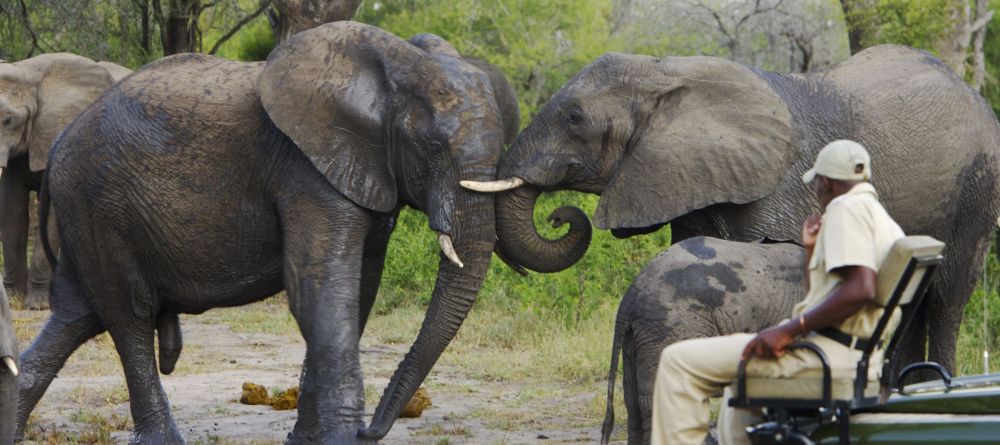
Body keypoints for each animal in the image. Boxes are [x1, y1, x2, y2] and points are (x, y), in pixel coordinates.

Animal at [17, 22, 513, 443]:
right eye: (432, 147)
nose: (372, 430)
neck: (396, 67)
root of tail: (59, 144)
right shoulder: (305, 171)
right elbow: (319, 292)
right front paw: (338, 439)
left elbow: (357, 294)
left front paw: (309, 439)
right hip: (98, 204)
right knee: (128, 316)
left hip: (89, 214)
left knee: (77, 315)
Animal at [481, 44, 1000, 387]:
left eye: (574, 118)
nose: (560, 216)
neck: (667, 72)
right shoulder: (691, 177)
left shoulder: (785, 183)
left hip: (978, 187)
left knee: (948, 294)